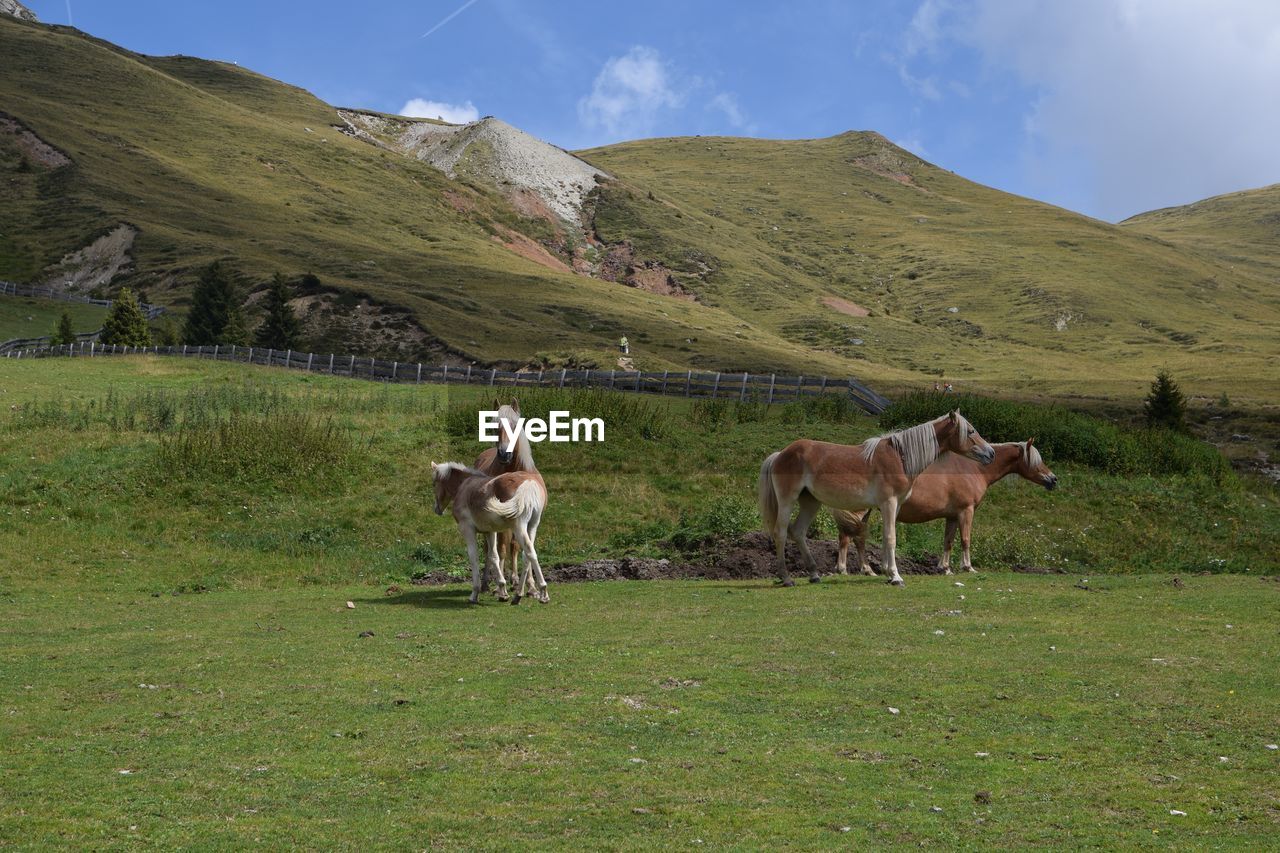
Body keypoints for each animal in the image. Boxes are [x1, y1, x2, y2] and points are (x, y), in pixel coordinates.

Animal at [432, 458, 547, 604]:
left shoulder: (467, 529)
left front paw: (475, 594)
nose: (437, 509)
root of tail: (529, 483)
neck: (464, 486)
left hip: (519, 527)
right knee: (526, 556)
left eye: (434, 484)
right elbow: (493, 556)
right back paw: (517, 596)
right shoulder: (490, 532)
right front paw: (502, 591)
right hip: (532, 526)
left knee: (530, 552)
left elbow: (474, 556)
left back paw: (543, 593)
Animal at [476, 399, 545, 596]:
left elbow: (520, 547)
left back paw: (514, 580)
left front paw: (529, 586)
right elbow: (501, 548)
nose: (504, 454)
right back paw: (487, 583)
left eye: (515, 425)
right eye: (493, 426)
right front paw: (501, 586)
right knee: (491, 548)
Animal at [752, 409, 993, 584]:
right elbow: (891, 537)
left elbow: (888, 535)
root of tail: (781, 454)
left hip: (811, 502)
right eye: (971, 431)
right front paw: (895, 576)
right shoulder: (888, 502)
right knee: (782, 532)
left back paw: (814, 574)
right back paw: (786, 577)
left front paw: (886, 571)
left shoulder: (895, 506)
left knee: (799, 532)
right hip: (787, 500)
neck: (899, 457)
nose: (990, 453)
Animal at [829, 438, 1059, 571]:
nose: (1053, 479)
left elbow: (948, 541)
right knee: (848, 537)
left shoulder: (952, 516)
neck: (973, 468)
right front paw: (967, 567)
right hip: (859, 510)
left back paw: (866, 569)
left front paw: (944, 568)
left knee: (856, 538)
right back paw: (846, 568)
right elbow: (965, 540)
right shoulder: (966, 512)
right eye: (1036, 460)